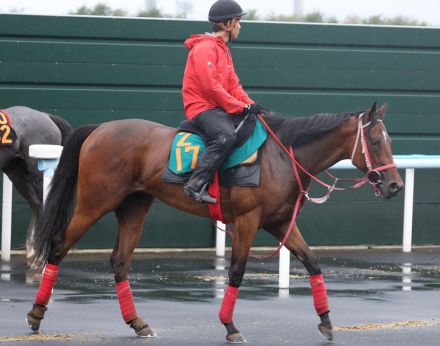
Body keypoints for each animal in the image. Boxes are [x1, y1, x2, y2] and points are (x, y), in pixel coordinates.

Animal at [26, 101, 402, 342]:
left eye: (388, 141)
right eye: (374, 141)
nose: (395, 185)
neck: (282, 157)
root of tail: (100, 129)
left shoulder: (281, 223)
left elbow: (312, 262)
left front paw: (326, 321)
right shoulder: (248, 222)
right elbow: (236, 271)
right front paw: (230, 326)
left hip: (134, 206)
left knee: (120, 261)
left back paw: (137, 323)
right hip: (95, 203)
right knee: (58, 246)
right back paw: (36, 314)